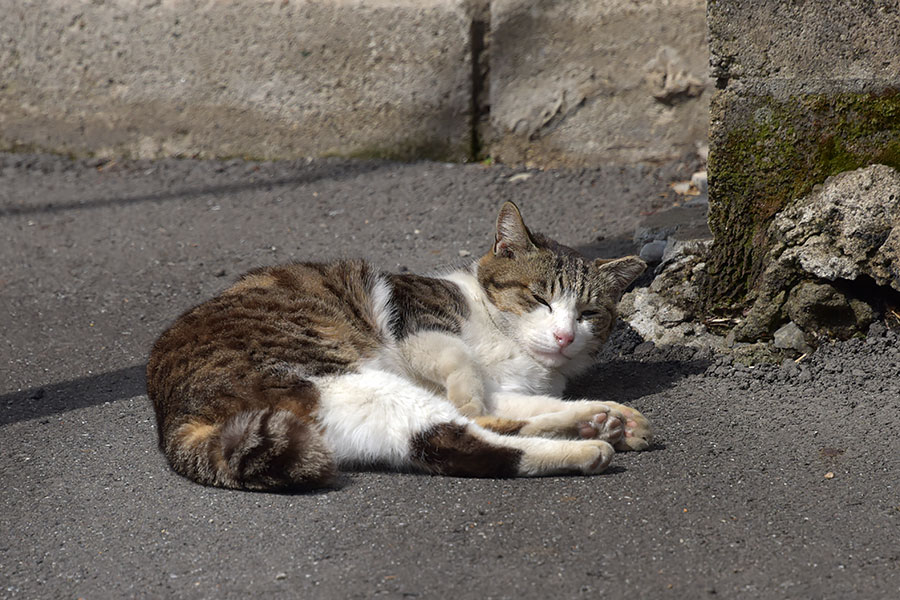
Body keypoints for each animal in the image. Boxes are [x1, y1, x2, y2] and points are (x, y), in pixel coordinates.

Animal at [148, 199, 652, 490]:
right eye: (539, 298)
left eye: (588, 314)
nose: (564, 335)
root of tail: (176, 418)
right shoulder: (416, 318)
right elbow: (461, 361)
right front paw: (469, 389)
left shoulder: (512, 389)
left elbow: (525, 404)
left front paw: (609, 412)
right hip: (348, 380)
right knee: (463, 436)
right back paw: (588, 446)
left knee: (472, 436)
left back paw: (599, 424)